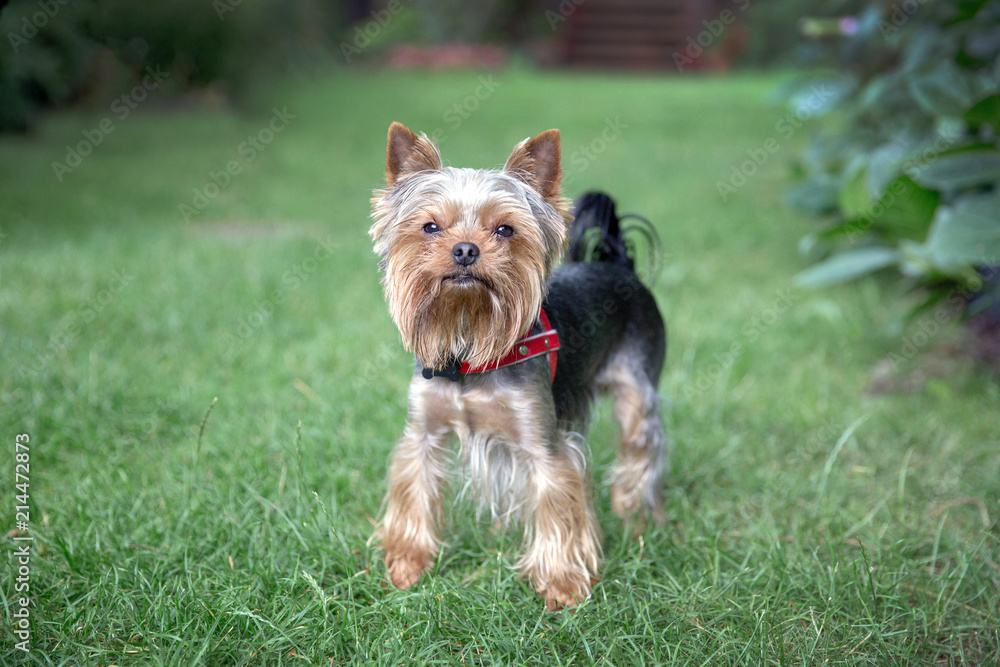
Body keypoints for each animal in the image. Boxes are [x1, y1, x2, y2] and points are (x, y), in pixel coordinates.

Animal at [368, 121, 664, 612]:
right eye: (430, 226)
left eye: (505, 229)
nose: (465, 250)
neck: (468, 349)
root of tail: (618, 264)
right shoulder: (423, 431)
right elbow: (416, 488)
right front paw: (407, 565)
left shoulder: (543, 442)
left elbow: (557, 507)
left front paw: (562, 585)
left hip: (638, 386)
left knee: (641, 447)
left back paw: (637, 515)